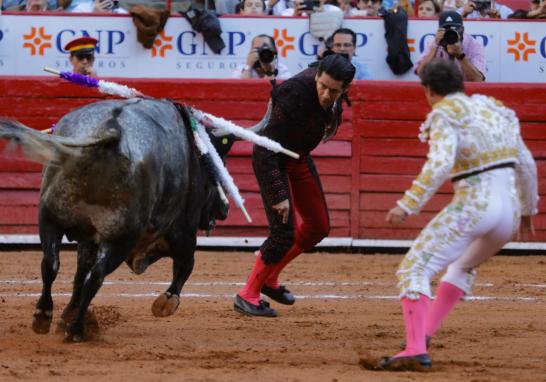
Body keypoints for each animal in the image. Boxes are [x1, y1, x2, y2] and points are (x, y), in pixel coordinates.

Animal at [0, 97, 262, 342]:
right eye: (217, 167)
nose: (224, 210)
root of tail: (111, 129)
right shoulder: (182, 231)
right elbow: (187, 264)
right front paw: (166, 302)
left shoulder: (89, 239)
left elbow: (79, 275)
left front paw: (65, 317)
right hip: (121, 238)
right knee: (96, 277)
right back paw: (76, 330)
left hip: (49, 218)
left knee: (51, 264)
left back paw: (44, 316)